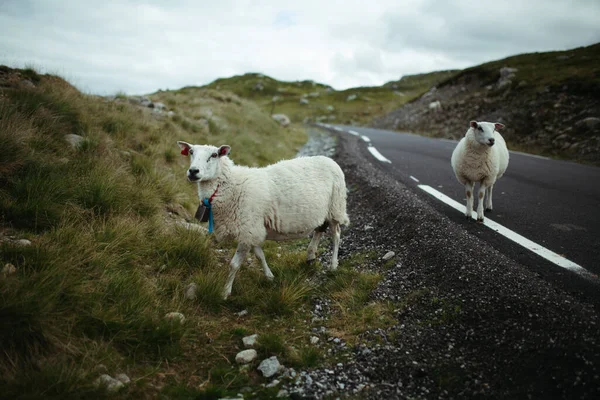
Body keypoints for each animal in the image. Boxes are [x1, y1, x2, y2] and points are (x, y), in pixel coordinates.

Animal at [176, 142, 350, 298]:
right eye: (191, 152)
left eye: (214, 155)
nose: (193, 171)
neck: (232, 187)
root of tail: (329, 160)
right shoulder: (253, 230)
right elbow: (260, 255)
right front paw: (270, 276)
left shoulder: (247, 229)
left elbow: (234, 264)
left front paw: (225, 293)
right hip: (324, 211)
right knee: (319, 230)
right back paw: (310, 256)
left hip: (335, 207)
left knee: (336, 235)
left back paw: (333, 265)